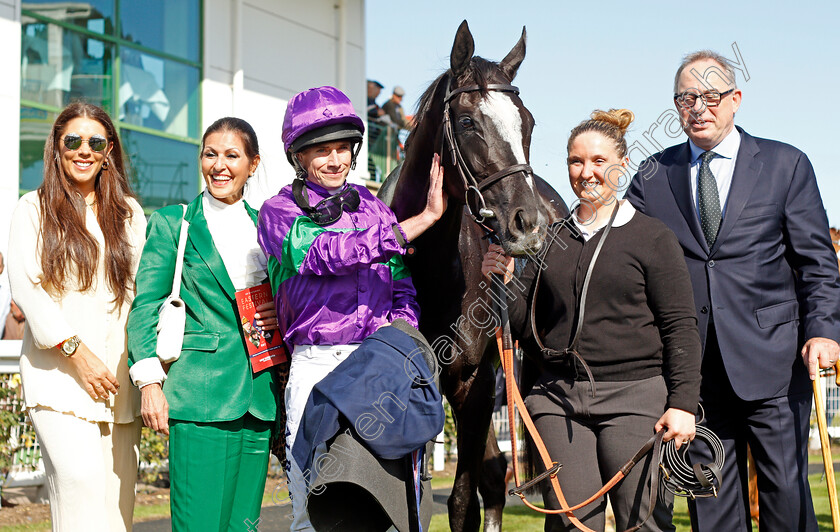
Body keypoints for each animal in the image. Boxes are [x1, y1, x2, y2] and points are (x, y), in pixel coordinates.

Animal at [380, 19, 572, 528]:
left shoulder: (475, 383)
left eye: (528, 122)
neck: (429, 268)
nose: (529, 224)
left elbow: (463, 502)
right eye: (467, 122)